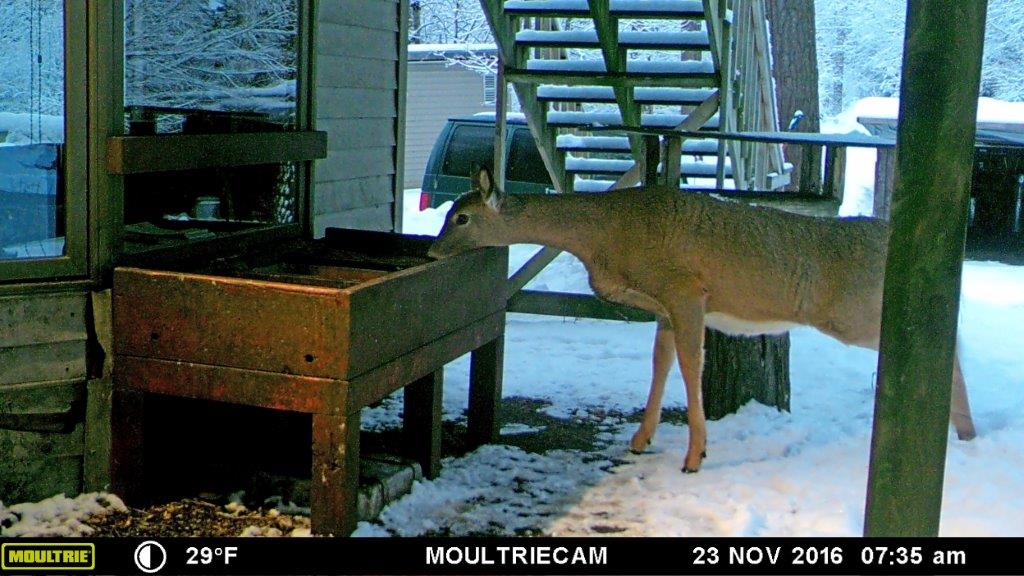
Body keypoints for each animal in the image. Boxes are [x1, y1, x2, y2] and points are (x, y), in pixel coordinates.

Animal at [427, 168, 977, 473]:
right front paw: (640, 440)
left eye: (462, 217)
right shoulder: (664, 307)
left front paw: (694, 457)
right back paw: (964, 437)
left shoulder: (686, 290)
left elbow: (692, 368)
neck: (605, 236)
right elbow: (660, 364)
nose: (431, 252)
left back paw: (964, 437)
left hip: (854, 313)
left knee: (942, 345)